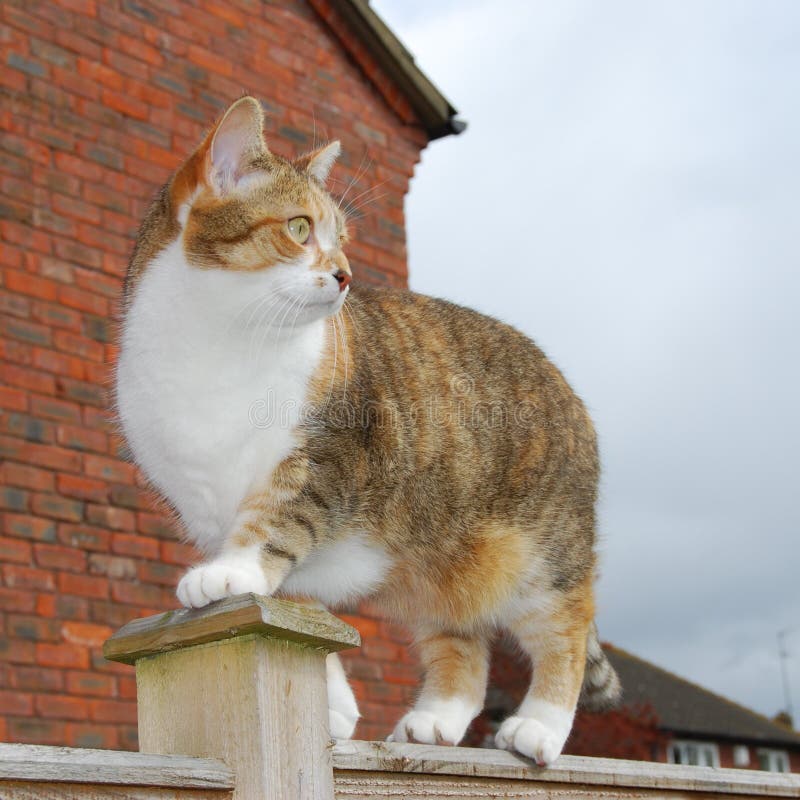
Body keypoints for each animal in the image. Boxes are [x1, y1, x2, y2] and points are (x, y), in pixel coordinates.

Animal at [115, 94, 620, 764]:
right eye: (299, 228)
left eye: (343, 240)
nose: (346, 275)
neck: (219, 340)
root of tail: (565, 383)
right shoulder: (202, 505)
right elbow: (287, 598)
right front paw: (334, 703)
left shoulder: (326, 459)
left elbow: (276, 526)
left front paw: (231, 572)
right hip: (435, 557)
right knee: (462, 639)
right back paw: (438, 718)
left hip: (541, 545)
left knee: (565, 622)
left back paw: (538, 726)